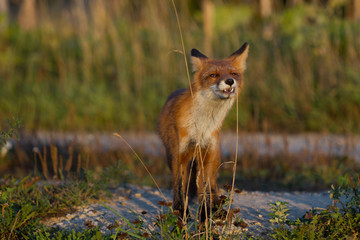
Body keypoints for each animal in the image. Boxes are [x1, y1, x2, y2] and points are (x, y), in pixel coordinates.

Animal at [159, 41, 249, 221]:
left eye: (234, 74)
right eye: (213, 75)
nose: (229, 81)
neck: (201, 126)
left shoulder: (207, 153)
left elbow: (205, 189)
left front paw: (204, 215)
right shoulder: (179, 154)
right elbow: (179, 187)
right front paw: (181, 214)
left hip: (214, 157)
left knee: (212, 184)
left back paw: (217, 209)